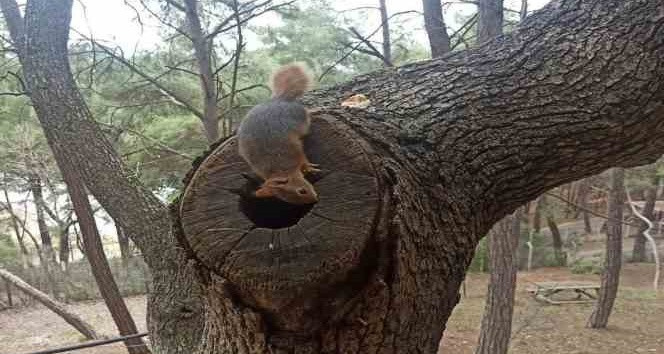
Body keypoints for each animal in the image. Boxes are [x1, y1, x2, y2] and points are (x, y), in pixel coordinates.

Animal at [237, 62, 320, 203]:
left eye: (301, 191)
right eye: (287, 201)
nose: (315, 200)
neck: (281, 168)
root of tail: (277, 99)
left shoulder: (295, 151)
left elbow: (303, 159)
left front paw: (308, 167)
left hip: (299, 116)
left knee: (307, 112)